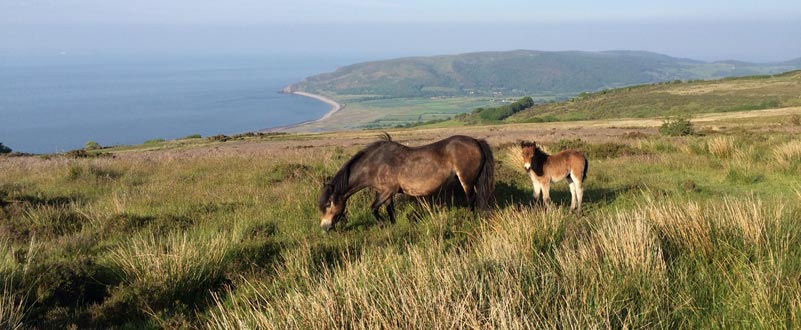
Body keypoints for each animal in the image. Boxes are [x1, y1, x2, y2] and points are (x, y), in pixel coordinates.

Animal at [318, 133, 494, 231]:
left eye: (328, 204)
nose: (325, 227)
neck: (374, 164)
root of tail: (476, 141)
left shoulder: (388, 190)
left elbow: (373, 208)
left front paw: (382, 224)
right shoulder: (385, 193)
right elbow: (390, 210)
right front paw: (392, 225)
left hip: (467, 180)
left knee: (471, 199)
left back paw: (471, 219)